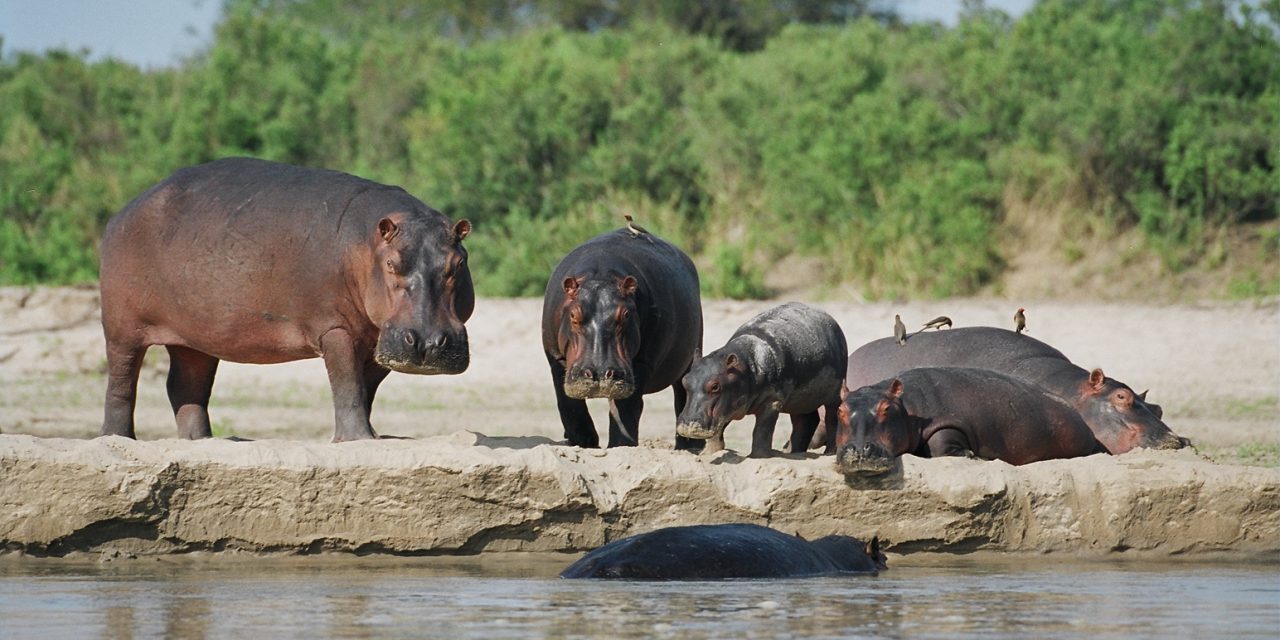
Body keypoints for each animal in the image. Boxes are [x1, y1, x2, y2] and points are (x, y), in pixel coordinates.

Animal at [96, 157, 476, 442]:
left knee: (185, 386)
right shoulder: (335, 328)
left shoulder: (378, 337)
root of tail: (123, 212)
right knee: (122, 380)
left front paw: (372, 436)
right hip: (122, 328)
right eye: (391, 264)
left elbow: (364, 390)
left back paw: (201, 442)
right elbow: (347, 384)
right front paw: (357, 440)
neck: (368, 243)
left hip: (194, 337)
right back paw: (117, 438)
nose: (428, 340)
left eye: (458, 263)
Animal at [537, 225, 706, 450]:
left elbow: (627, 408)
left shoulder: (641, 363)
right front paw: (584, 441)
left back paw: (689, 447)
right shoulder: (556, 359)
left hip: (690, 353)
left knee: (682, 393)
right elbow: (569, 403)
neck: (600, 274)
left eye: (625, 314)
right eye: (573, 315)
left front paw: (620, 445)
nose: (599, 372)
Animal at [675, 302, 844, 458]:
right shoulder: (726, 407)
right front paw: (709, 454)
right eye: (684, 380)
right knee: (805, 422)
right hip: (801, 400)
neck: (746, 365)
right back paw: (793, 452)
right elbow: (718, 429)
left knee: (832, 417)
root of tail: (827, 315)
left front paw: (758, 456)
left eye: (715, 386)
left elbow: (762, 430)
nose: (687, 426)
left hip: (834, 394)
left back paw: (829, 453)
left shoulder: (772, 401)